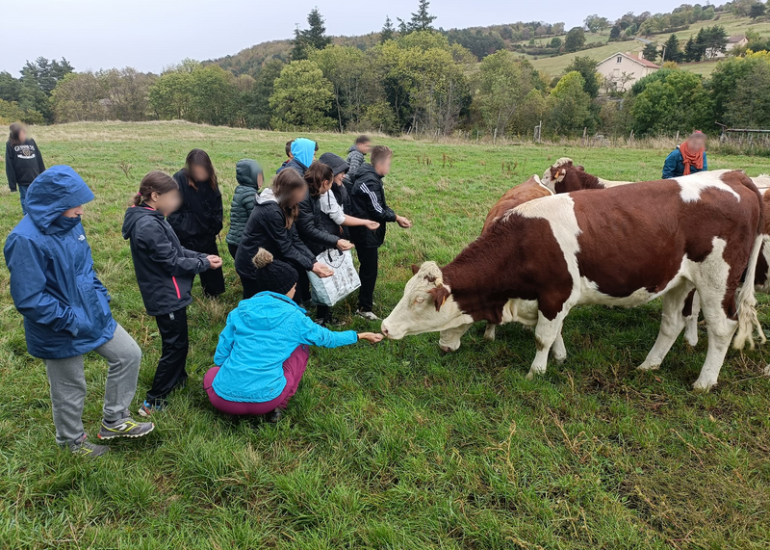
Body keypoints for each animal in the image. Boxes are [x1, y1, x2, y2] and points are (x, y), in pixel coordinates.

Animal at [380, 170, 764, 390]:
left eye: (419, 300)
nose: (384, 327)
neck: (521, 240)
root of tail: (733, 179)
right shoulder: (550, 299)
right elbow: (555, 332)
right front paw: (560, 357)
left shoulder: (555, 292)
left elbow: (542, 337)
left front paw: (537, 371)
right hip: (679, 280)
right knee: (671, 324)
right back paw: (649, 365)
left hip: (716, 280)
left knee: (722, 328)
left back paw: (705, 382)